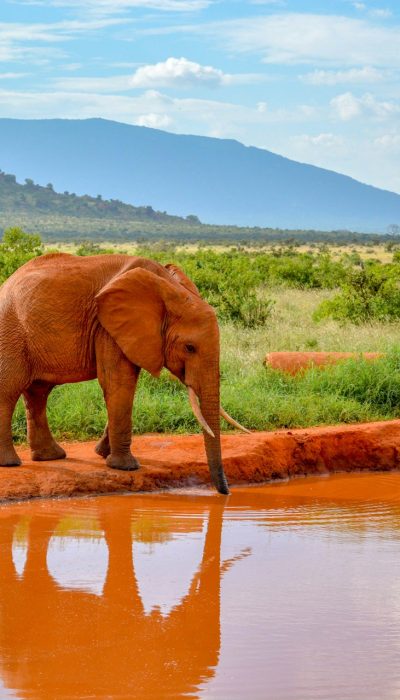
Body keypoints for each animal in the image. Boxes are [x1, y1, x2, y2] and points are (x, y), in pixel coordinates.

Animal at [0, 253, 247, 493]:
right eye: (189, 348)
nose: (225, 492)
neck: (168, 288)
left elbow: (122, 385)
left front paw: (102, 453)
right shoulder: (106, 328)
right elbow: (118, 382)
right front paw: (126, 467)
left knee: (38, 393)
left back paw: (51, 457)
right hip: (10, 333)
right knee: (10, 391)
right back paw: (10, 463)